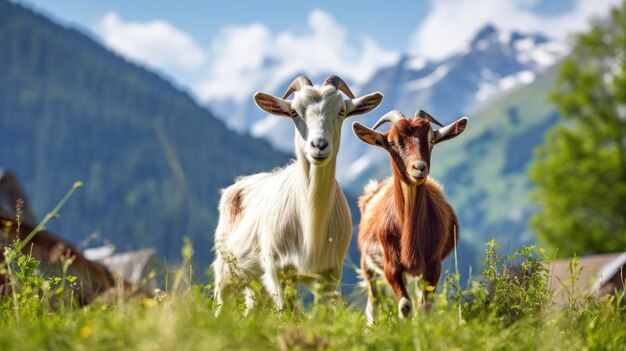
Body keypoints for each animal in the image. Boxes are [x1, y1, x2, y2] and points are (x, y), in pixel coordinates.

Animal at [213, 75, 380, 314]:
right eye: (294, 112)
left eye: (341, 111)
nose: (319, 145)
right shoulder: (277, 271)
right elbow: (287, 314)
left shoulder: (330, 274)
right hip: (226, 271)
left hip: (256, 285)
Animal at [352, 109, 464, 322]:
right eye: (392, 142)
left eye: (431, 140)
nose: (419, 168)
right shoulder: (391, 266)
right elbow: (404, 305)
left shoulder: (432, 264)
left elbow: (426, 305)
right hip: (366, 262)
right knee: (373, 299)